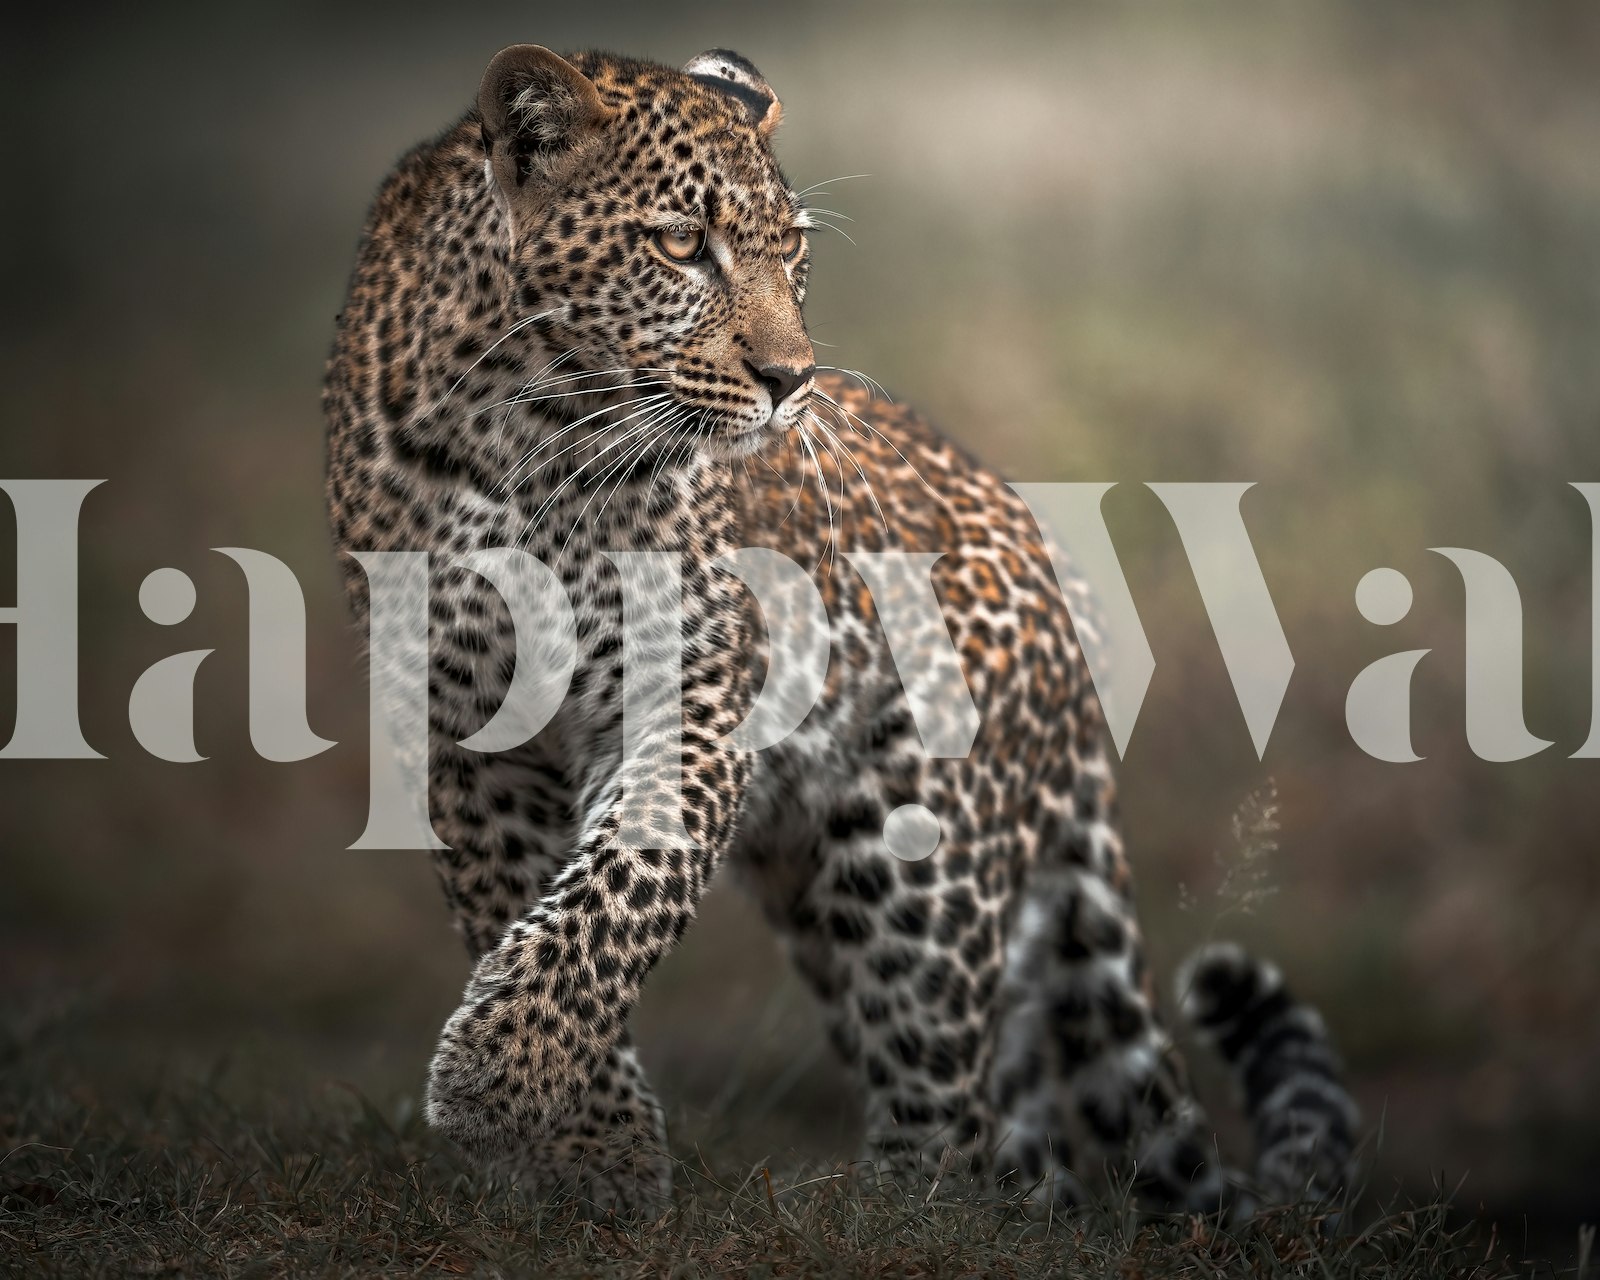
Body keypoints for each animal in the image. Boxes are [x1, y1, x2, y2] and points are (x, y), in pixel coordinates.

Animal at [323, 43, 1358, 1218]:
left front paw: (500, 1078)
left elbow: (615, 900)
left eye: (794, 254)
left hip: (918, 868)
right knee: (1020, 1129)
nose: (790, 382)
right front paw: (591, 1144)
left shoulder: (687, 697)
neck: (520, 435)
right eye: (681, 244)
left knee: (951, 1115)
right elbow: (524, 911)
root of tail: (1071, 610)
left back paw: (899, 1217)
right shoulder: (464, 735)